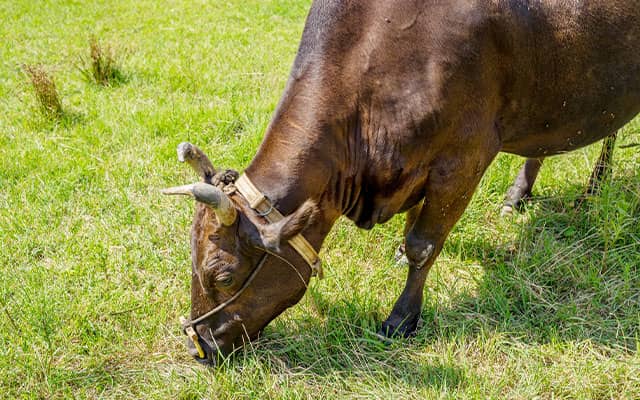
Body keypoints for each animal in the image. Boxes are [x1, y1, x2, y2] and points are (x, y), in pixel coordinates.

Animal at [162, 0, 640, 364]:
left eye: (223, 277)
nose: (199, 347)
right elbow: (413, 229)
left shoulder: (464, 159)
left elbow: (422, 245)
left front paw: (401, 319)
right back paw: (519, 195)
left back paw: (593, 187)